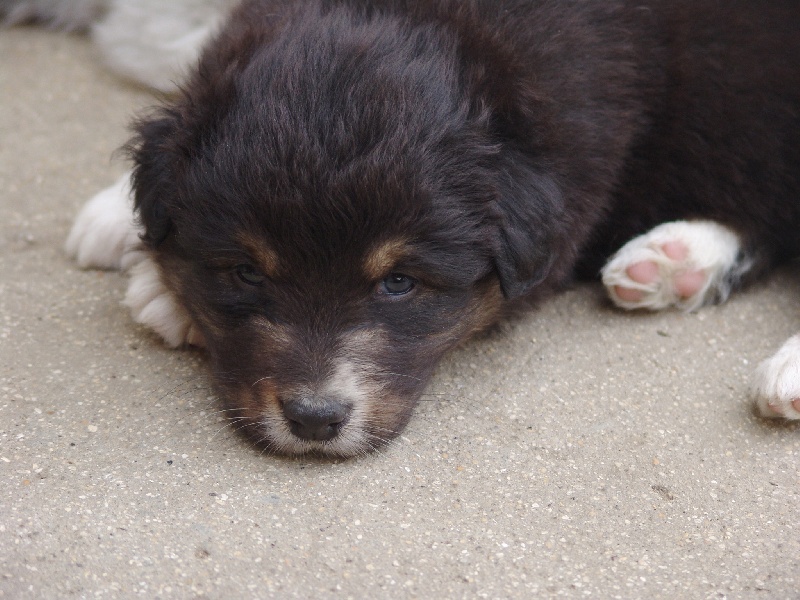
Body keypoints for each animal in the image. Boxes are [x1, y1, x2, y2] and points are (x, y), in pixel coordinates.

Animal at [9, 0, 800, 457]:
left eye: (398, 283)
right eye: (246, 272)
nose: (315, 420)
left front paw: (156, 285)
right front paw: (123, 220)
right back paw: (671, 261)